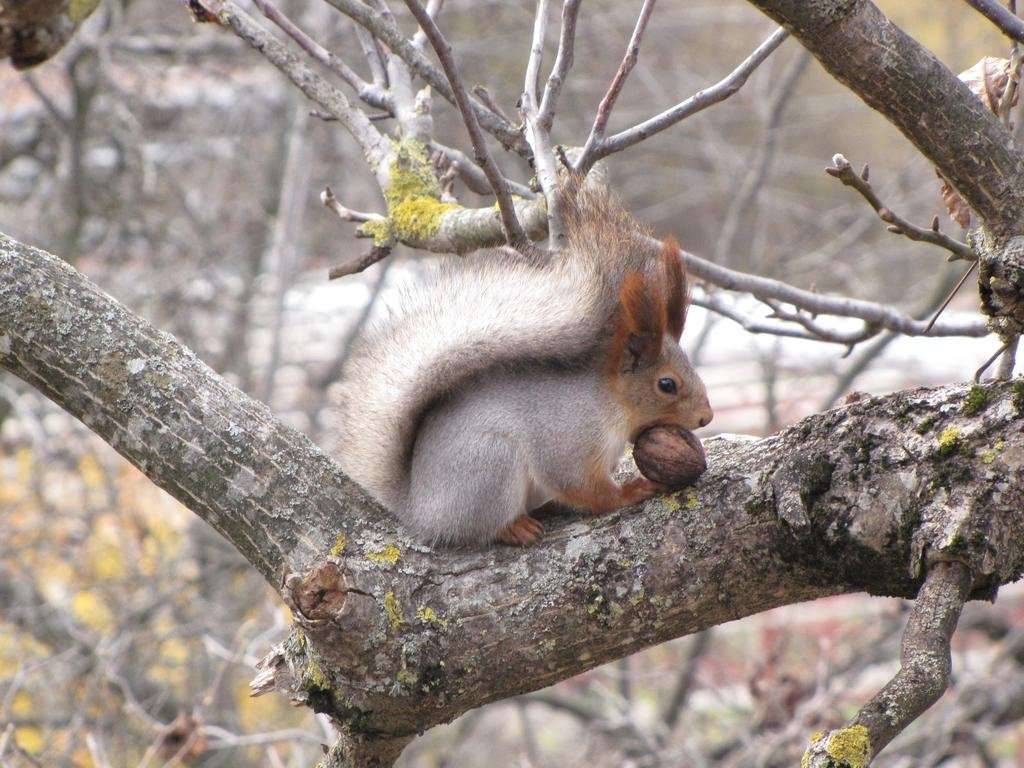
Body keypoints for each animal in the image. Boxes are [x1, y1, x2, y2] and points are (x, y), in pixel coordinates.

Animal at [327, 185, 712, 548]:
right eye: (667, 384)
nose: (706, 417)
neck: (609, 403)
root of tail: (420, 512)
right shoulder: (569, 437)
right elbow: (583, 486)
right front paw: (630, 492)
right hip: (490, 466)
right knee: (481, 528)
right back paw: (515, 527)